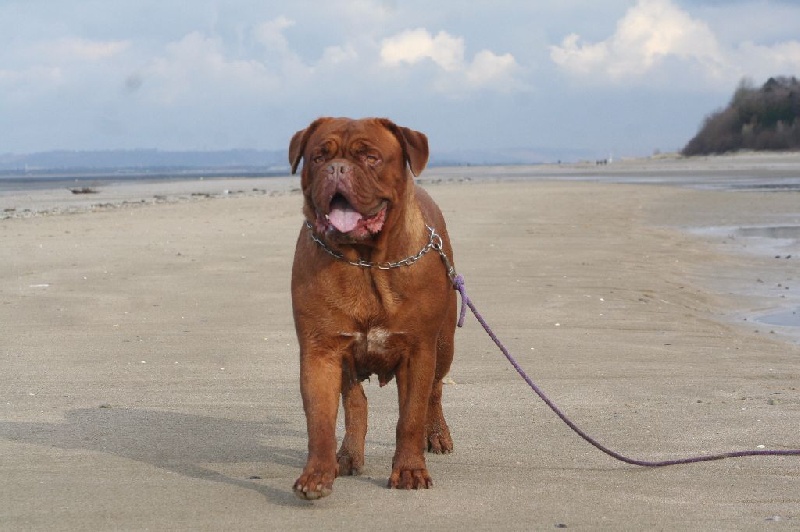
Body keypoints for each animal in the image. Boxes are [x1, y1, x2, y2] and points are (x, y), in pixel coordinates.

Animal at [290, 116, 460, 498]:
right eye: (319, 158)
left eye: (370, 158)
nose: (337, 169)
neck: (366, 261)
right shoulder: (320, 351)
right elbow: (319, 419)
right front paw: (317, 473)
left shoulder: (418, 351)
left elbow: (410, 417)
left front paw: (410, 470)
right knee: (356, 403)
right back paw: (348, 455)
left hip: (444, 345)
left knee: (435, 391)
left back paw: (437, 435)